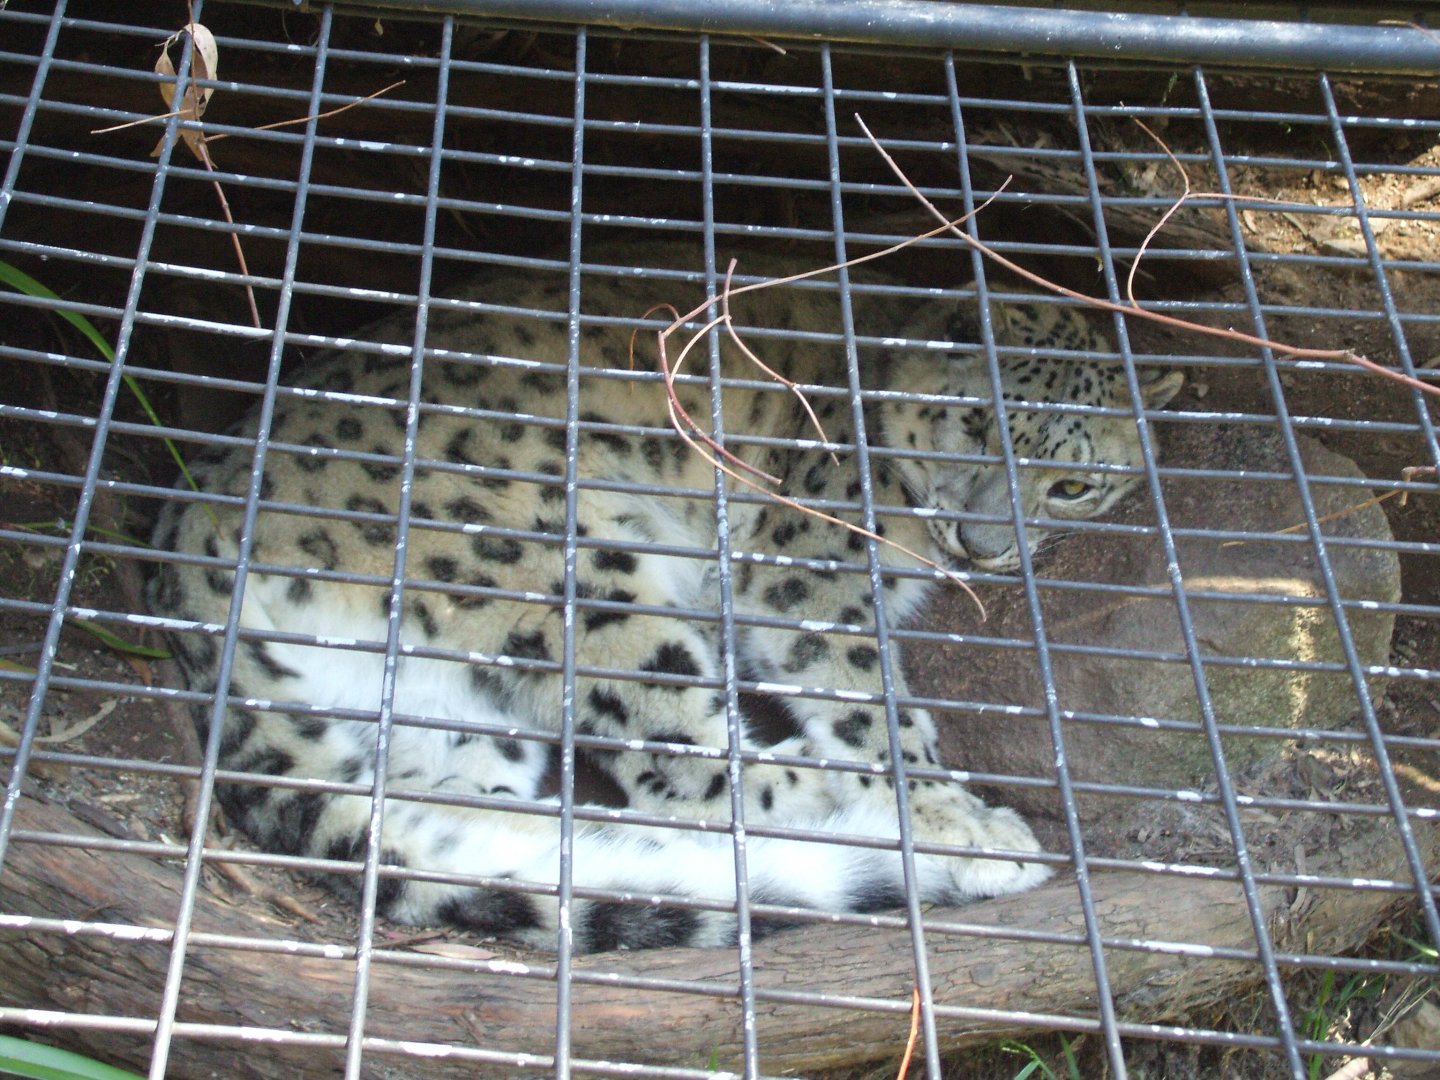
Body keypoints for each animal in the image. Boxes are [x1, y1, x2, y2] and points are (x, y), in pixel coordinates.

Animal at [147, 244, 1182, 952]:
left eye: (1073, 486)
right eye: (976, 424)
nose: (984, 545)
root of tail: (194, 528)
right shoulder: (808, 567)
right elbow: (866, 700)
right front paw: (943, 807)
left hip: (455, 719)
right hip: (574, 575)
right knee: (692, 771)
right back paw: (927, 820)